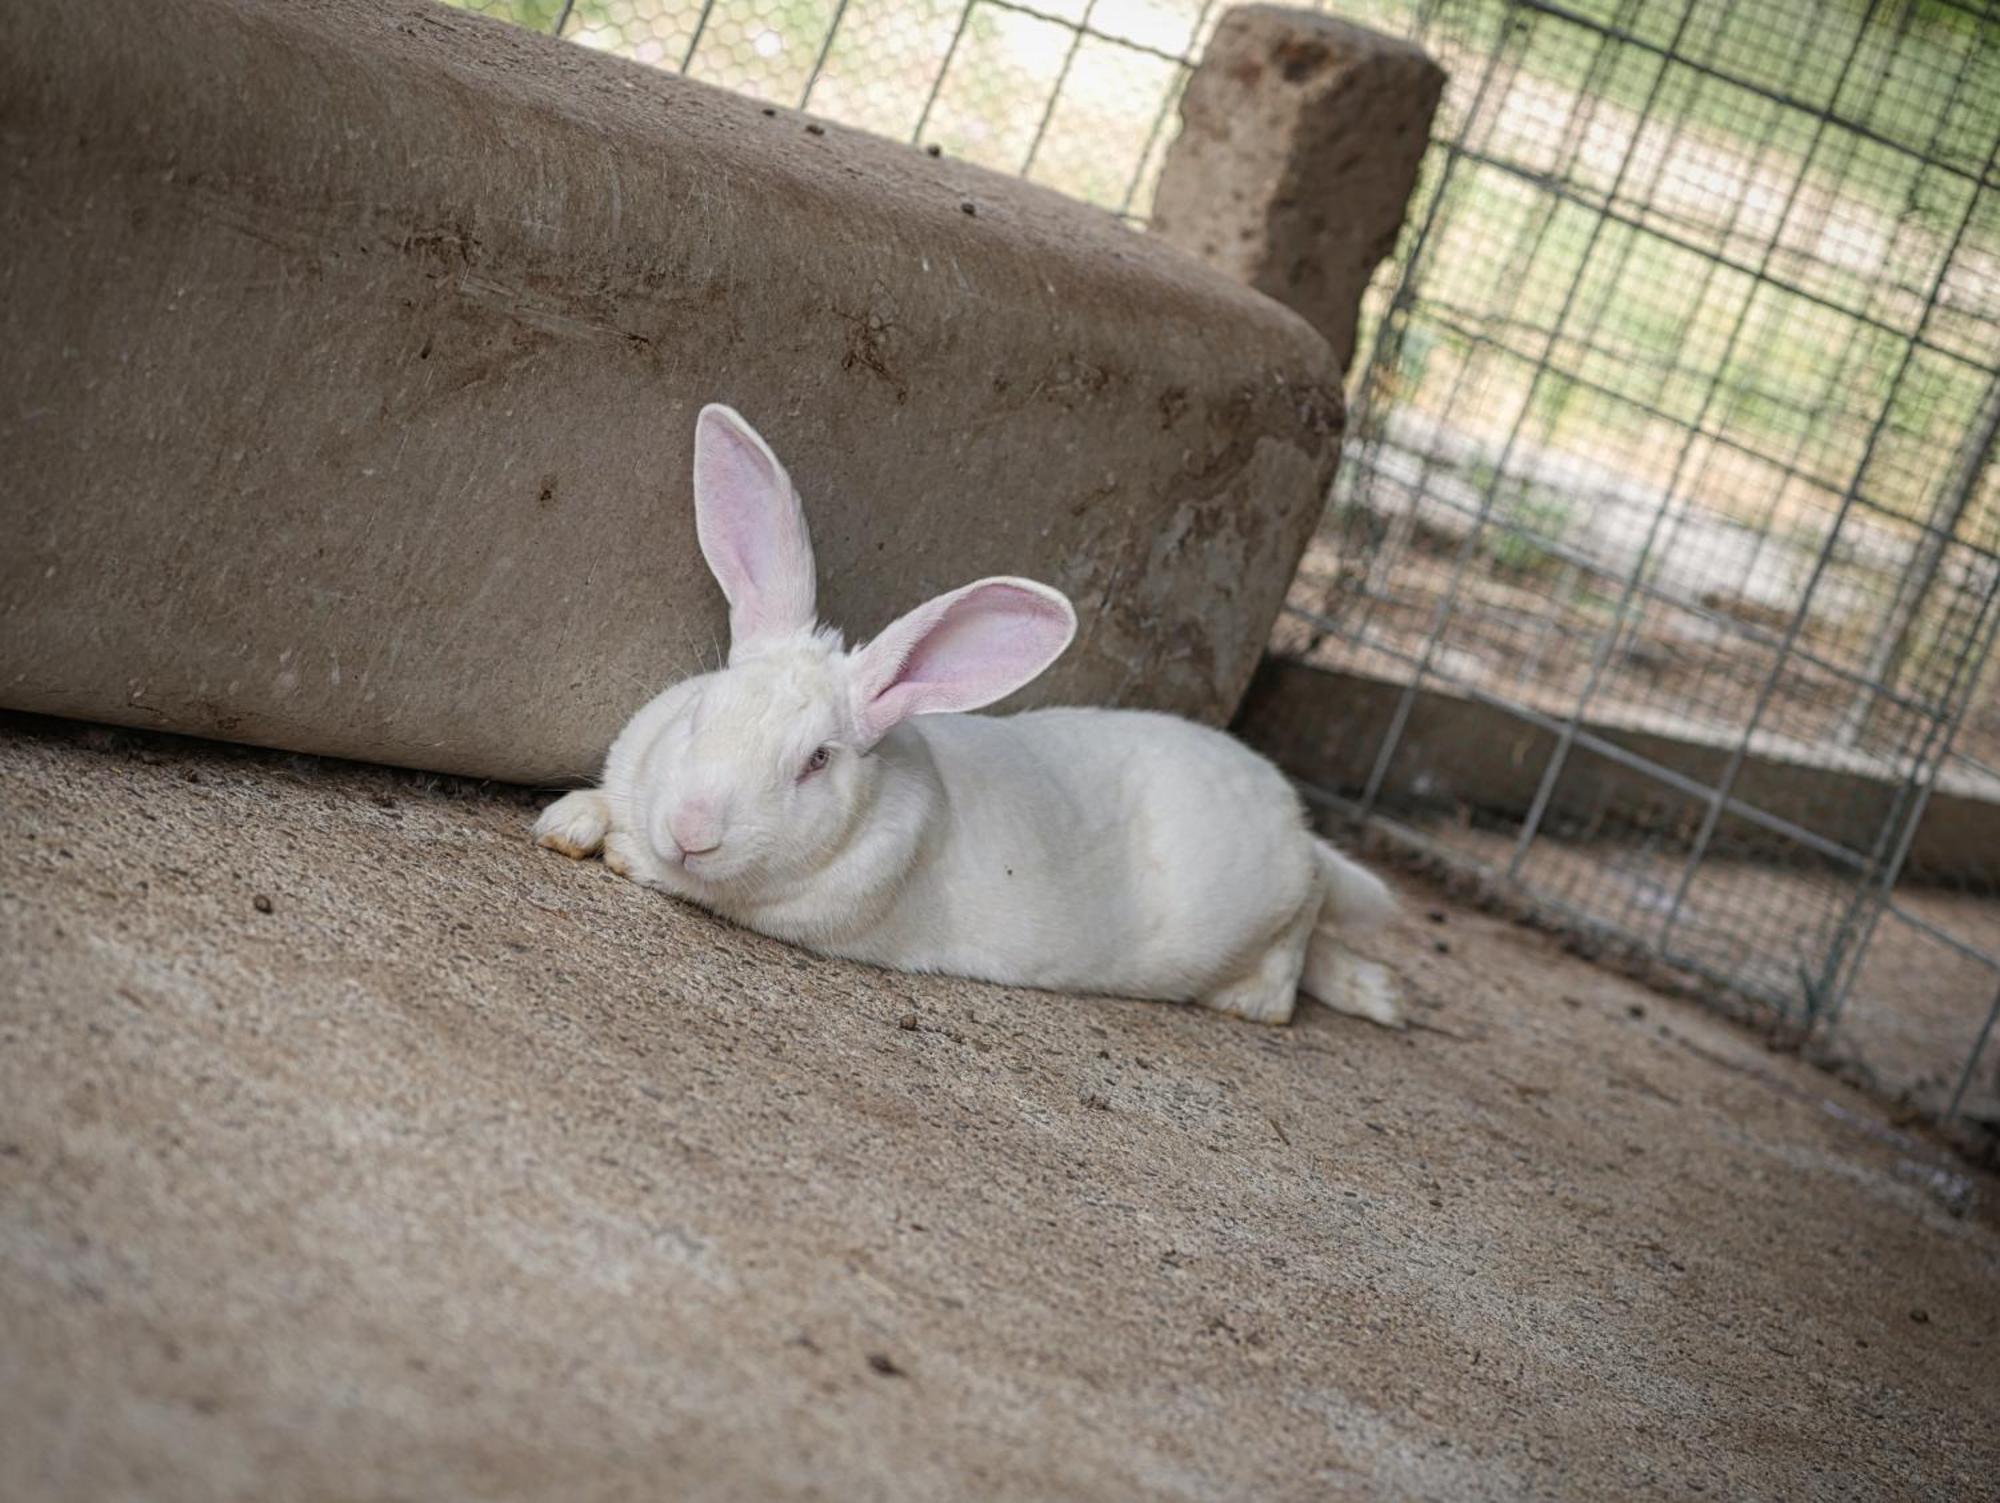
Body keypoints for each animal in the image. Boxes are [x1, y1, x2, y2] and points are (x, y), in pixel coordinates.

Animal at [540, 405, 1400, 1031]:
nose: (691, 830)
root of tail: (1298, 827)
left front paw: (619, 849)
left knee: (1291, 967)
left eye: (817, 759)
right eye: (703, 709)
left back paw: (1266, 999)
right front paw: (570, 821)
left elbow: (674, 880)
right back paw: (1384, 995)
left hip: (1277, 916)